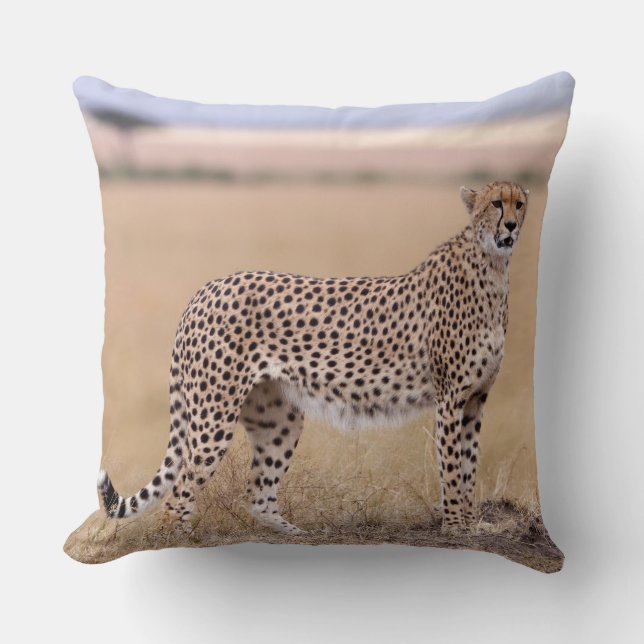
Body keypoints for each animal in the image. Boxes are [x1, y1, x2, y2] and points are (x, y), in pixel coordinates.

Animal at [98, 180, 529, 534]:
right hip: (213, 416)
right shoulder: (451, 398)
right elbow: (453, 467)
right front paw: (457, 527)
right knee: (179, 492)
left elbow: (470, 464)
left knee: (257, 496)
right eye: (495, 203)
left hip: (278, 417)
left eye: (519, 204)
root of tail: (208, 287)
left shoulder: (475, 399)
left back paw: (294, 534)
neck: (492, 268)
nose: (509, 226)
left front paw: (472, 523)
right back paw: (181, 538)